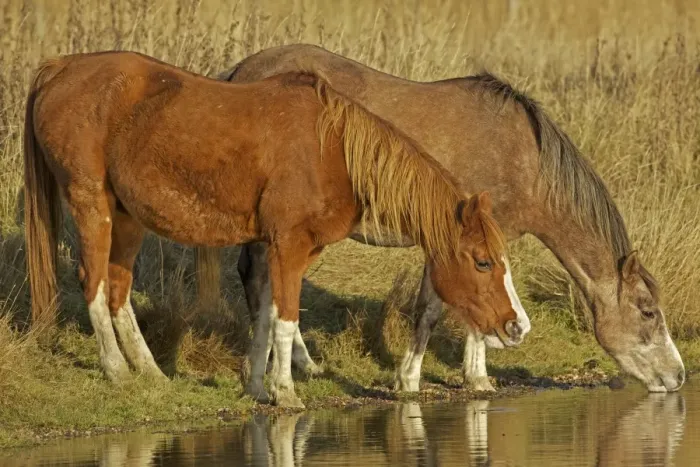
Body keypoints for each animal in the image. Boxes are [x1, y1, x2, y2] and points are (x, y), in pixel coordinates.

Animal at [23, 50, 529, 408]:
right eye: (483, 262)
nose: (517, 326)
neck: (331, 150)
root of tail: (60, 67)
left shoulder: (282, 248)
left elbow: (266, 315)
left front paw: (256, 385)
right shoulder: (289, 245)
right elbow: (286, 319)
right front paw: (285, 392)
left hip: (127, 217)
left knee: (118, 291)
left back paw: (150, 372)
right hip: (93, 206)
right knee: (93, 283)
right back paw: (116, 369)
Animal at [193, 43, 685, 393]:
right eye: (648, 311)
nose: (679, 376)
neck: (524, 159)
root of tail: (239, 73)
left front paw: (475, 376)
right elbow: (433, 309)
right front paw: (412, 379)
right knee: (260, 278)